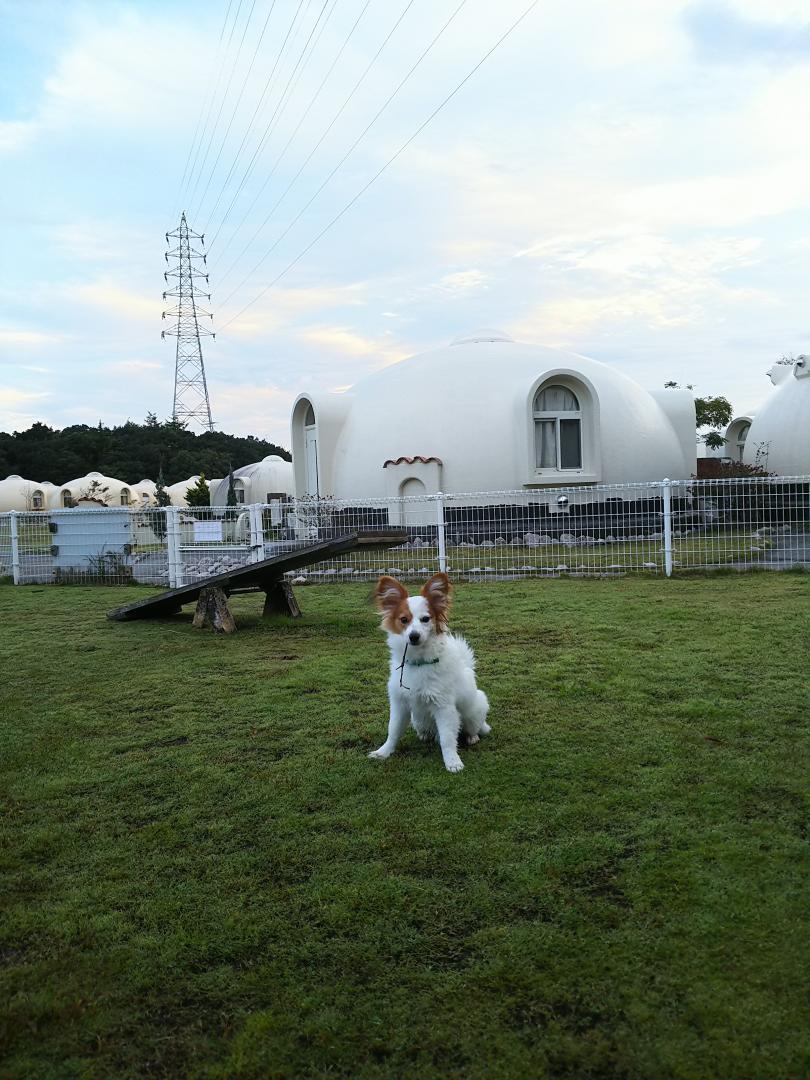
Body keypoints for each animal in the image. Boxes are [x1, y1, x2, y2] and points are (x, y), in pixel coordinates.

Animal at [371, 570, 492, 773]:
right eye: (404, 620)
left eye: (425, 619)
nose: (414, 636)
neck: (419, 662)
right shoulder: (399, 703)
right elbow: (393, 730)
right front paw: (383, 752)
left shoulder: (444, 707)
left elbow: (447, 739)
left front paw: (452, 762)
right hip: (417, 719)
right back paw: (425, 735)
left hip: (474, 711)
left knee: (472, 728)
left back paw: (472, 737)